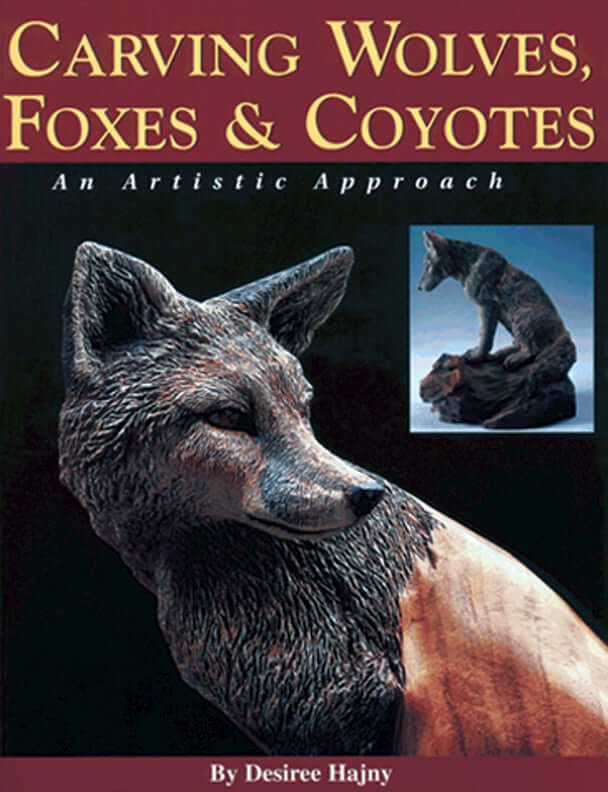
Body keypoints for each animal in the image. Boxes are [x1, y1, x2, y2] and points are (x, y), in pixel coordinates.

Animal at [417, 230, 576, 387]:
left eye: (427, 265)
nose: (418, 287)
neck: (467, 264)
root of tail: (565, 332)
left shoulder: (487, 306)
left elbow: (485, 336)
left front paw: (477, 357)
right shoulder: (489, 309)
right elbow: (484, 334)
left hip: (520, 315)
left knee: (533, 349)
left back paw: (515, 358)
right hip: (509, 320)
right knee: (520, 343)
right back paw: (502, 353)